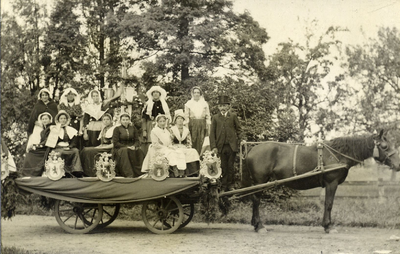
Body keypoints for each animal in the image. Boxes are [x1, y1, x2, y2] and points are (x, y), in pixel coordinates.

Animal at [247, 130, 400, 233]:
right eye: (385, 146)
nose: (398, 165)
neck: (338, 154)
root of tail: (251, 150)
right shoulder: (331, 183)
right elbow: (329, 203)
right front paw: (328, 226)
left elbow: (327, 203)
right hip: (260, 181)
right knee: (256, 200)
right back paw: (259, 226)